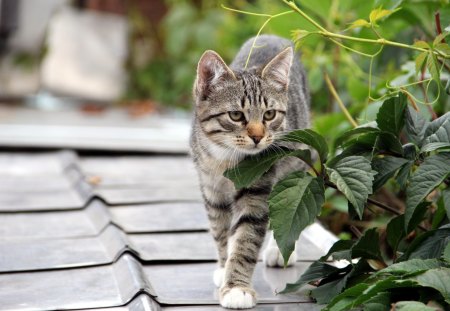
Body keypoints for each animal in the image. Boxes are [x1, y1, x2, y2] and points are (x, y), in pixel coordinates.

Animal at [189, 34, 310, 310]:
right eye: (235, 115)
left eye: (269, 114)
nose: (257, 137)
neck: (226, 160)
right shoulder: (211, 188)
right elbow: (220, 230)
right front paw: (224, 267)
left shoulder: (258, 186)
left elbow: (246, 238)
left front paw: (237, 288)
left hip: (297, 159)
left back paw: (279, 250)